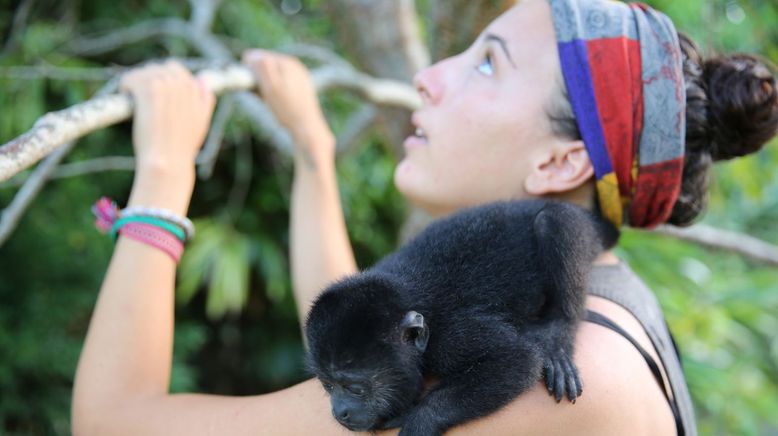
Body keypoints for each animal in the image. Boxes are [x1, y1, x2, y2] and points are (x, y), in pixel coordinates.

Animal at [306, 199, 616, 434]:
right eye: (328, 385)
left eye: (356, 388)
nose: (340, 412)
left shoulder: (451, 337)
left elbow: (518, 361)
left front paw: (419, 419)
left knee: (554, 220)